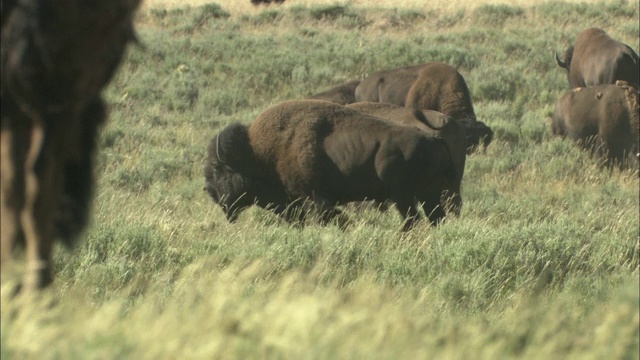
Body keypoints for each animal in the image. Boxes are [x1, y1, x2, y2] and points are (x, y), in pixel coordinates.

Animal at [205, 100, 464, 232]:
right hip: (427, 194)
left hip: (404, 196)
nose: (209, 191)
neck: (259, 152)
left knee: (413, 220)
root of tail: (433, 138)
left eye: (218, 169)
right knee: (434, 217)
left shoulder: (315, 198)